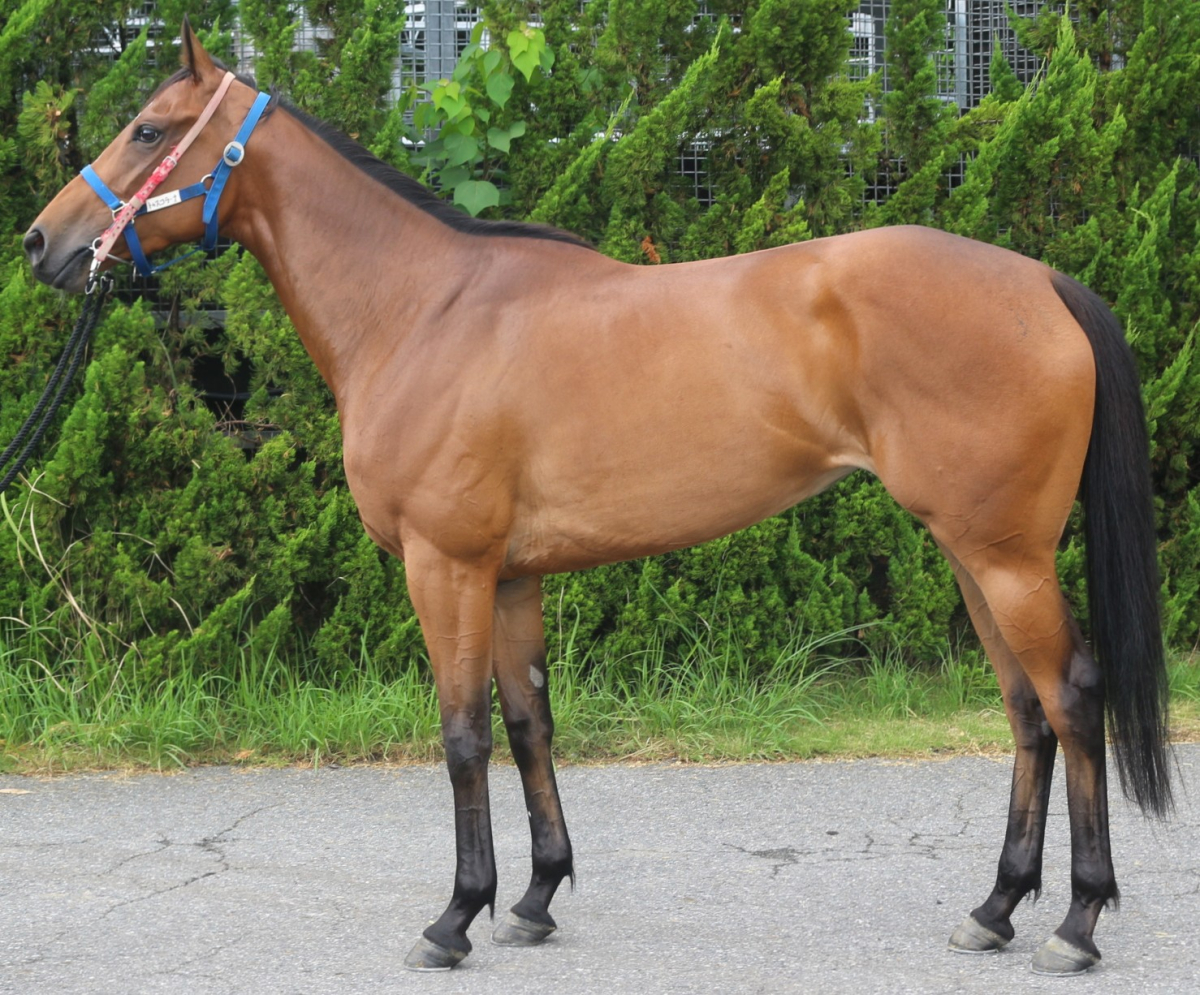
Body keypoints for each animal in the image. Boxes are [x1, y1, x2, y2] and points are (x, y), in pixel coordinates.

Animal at [23, 21, 1171, 976]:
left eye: (148, 128)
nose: (43, 242)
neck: (421, 308)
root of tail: (1042, 283)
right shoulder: (511, 573)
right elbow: (530, 720)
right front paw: (533, 896)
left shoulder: (446, 564)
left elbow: (462, 735)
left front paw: (455, 917)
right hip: (969, 549)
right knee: (1025, 711)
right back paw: (996, 907)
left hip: (1005, 554)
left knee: (1072, 698)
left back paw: (1076, 922)